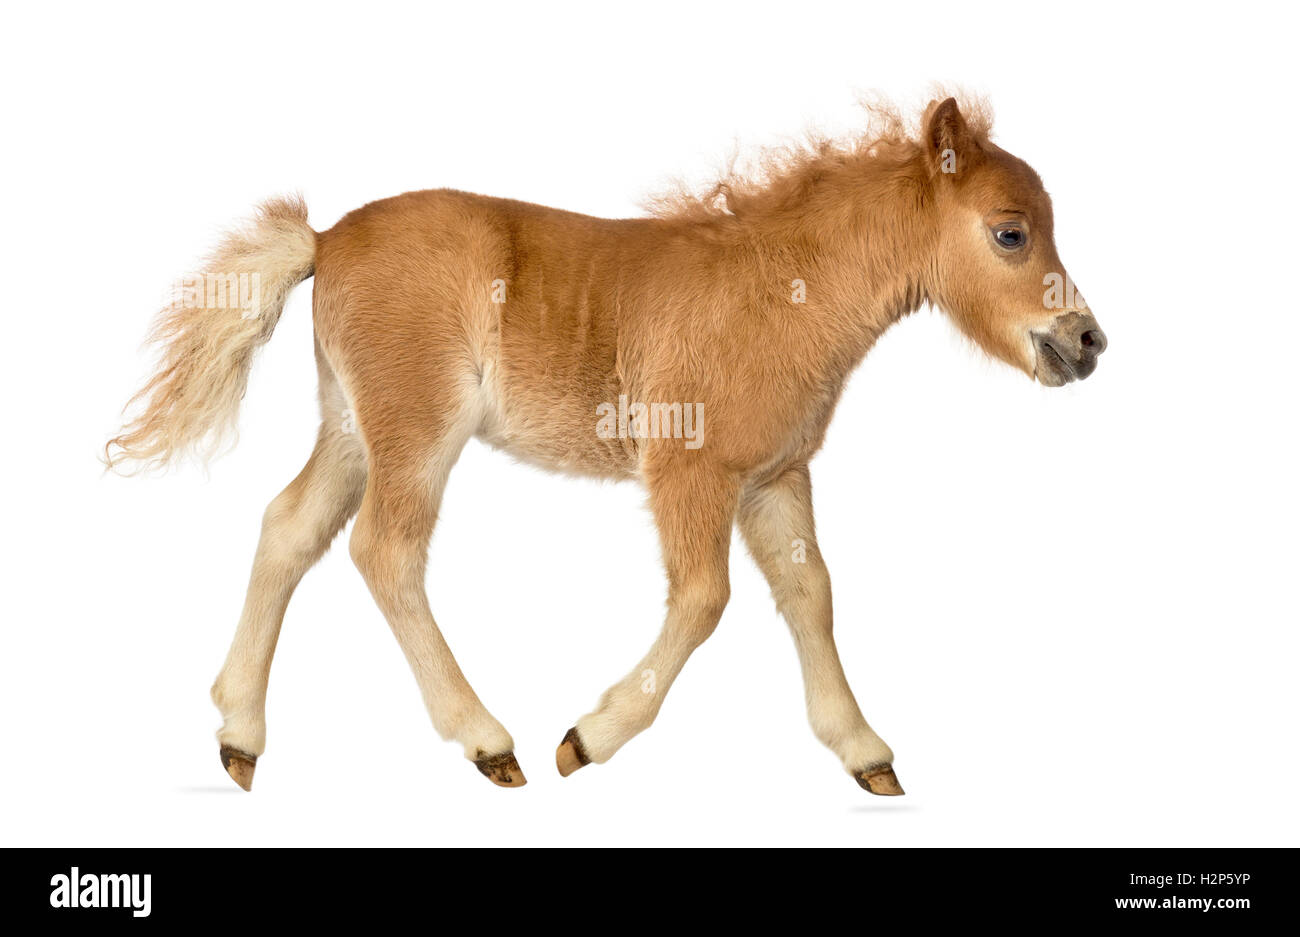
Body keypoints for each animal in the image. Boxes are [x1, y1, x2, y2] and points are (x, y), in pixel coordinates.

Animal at [109, 98, 1107, 795]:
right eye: (1011, 232)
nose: (1088, 342)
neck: (783, 292)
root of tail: (323, 237)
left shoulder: (775, 477)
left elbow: (811, 594)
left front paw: (864, 752)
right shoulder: (690, 471)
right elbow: (705, 600)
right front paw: (587, 738)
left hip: (354, 426)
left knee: (289, 527)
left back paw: (239, 734)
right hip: (417, 430)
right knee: (383, 550)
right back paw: (488, 740)